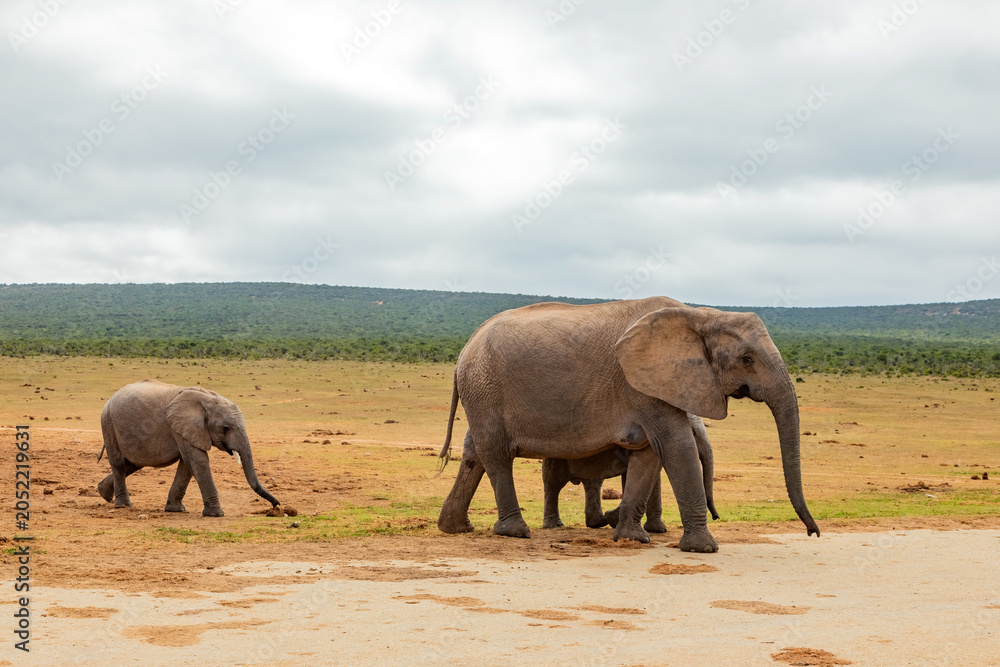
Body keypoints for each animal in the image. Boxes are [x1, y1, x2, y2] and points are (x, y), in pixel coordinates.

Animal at [96, 380, 279, 516]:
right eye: (226, 428)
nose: (276, 506)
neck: (208, 399)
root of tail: (110, 399)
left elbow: (187, 465)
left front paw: (175, 510)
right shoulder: (181, 427)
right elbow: (198, 460)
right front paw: (216, 514)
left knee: (134, 463)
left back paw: (103, 493)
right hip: (108, 422)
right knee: (119, 463)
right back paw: (123, 505)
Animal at [542, 414, 719, 532]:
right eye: (694, 434)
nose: (716, 517)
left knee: (593, 482)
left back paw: (597, 523)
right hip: (556, 454)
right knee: (553, 483)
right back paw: (554, 526)